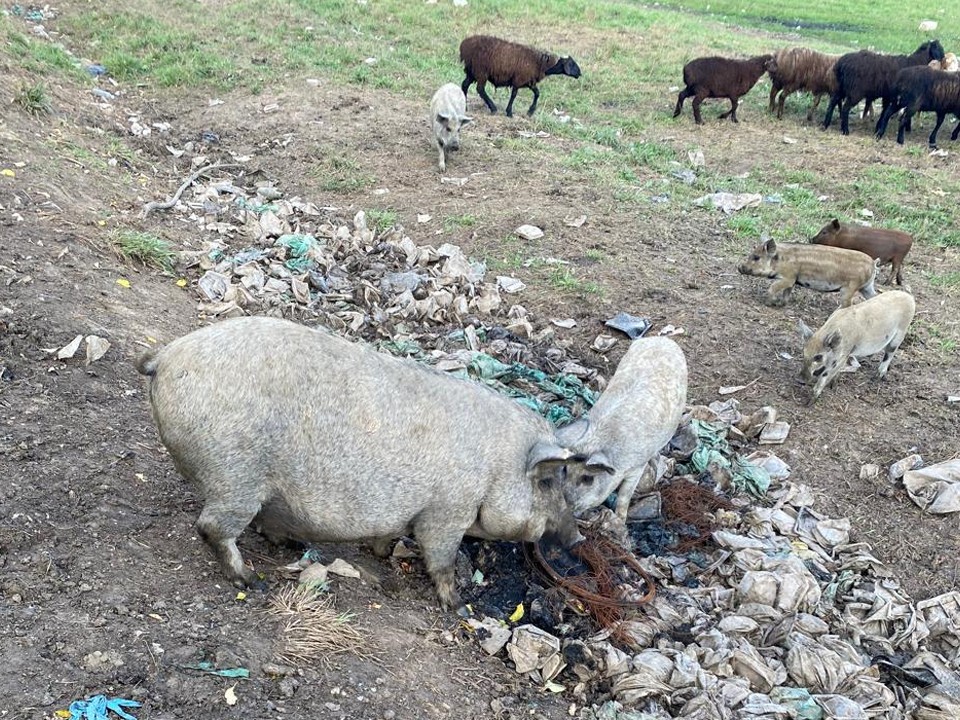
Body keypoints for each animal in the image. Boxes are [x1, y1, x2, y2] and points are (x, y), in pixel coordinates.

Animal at [138, 318, 588, 612]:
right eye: (549, 481)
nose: (578, 538)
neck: (496, 469)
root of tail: (168, 354)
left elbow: (389, 535)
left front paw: (382, 551)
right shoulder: (446, 512)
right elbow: (441, 559)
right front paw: (458, 607)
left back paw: (288, 546)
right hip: (234, 476)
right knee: (211, 527)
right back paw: (251, 582)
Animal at [560, 336, 688, 516]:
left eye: (588, 478)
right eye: (565, 470)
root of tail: (663, 339)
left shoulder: (637, 466)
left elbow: (624, 496)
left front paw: (619, 518)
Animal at [816, 40, 944, 135]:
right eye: (939, 48)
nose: (943, 58)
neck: (914, 62)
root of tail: (841, 63)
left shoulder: (888, 95)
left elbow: (884, 111)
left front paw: (878, 127)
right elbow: (886, 111)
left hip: (840, 87)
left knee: (832, 103)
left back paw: (825, 124)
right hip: (855, 91)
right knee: (845, 108)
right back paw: (845, 130)